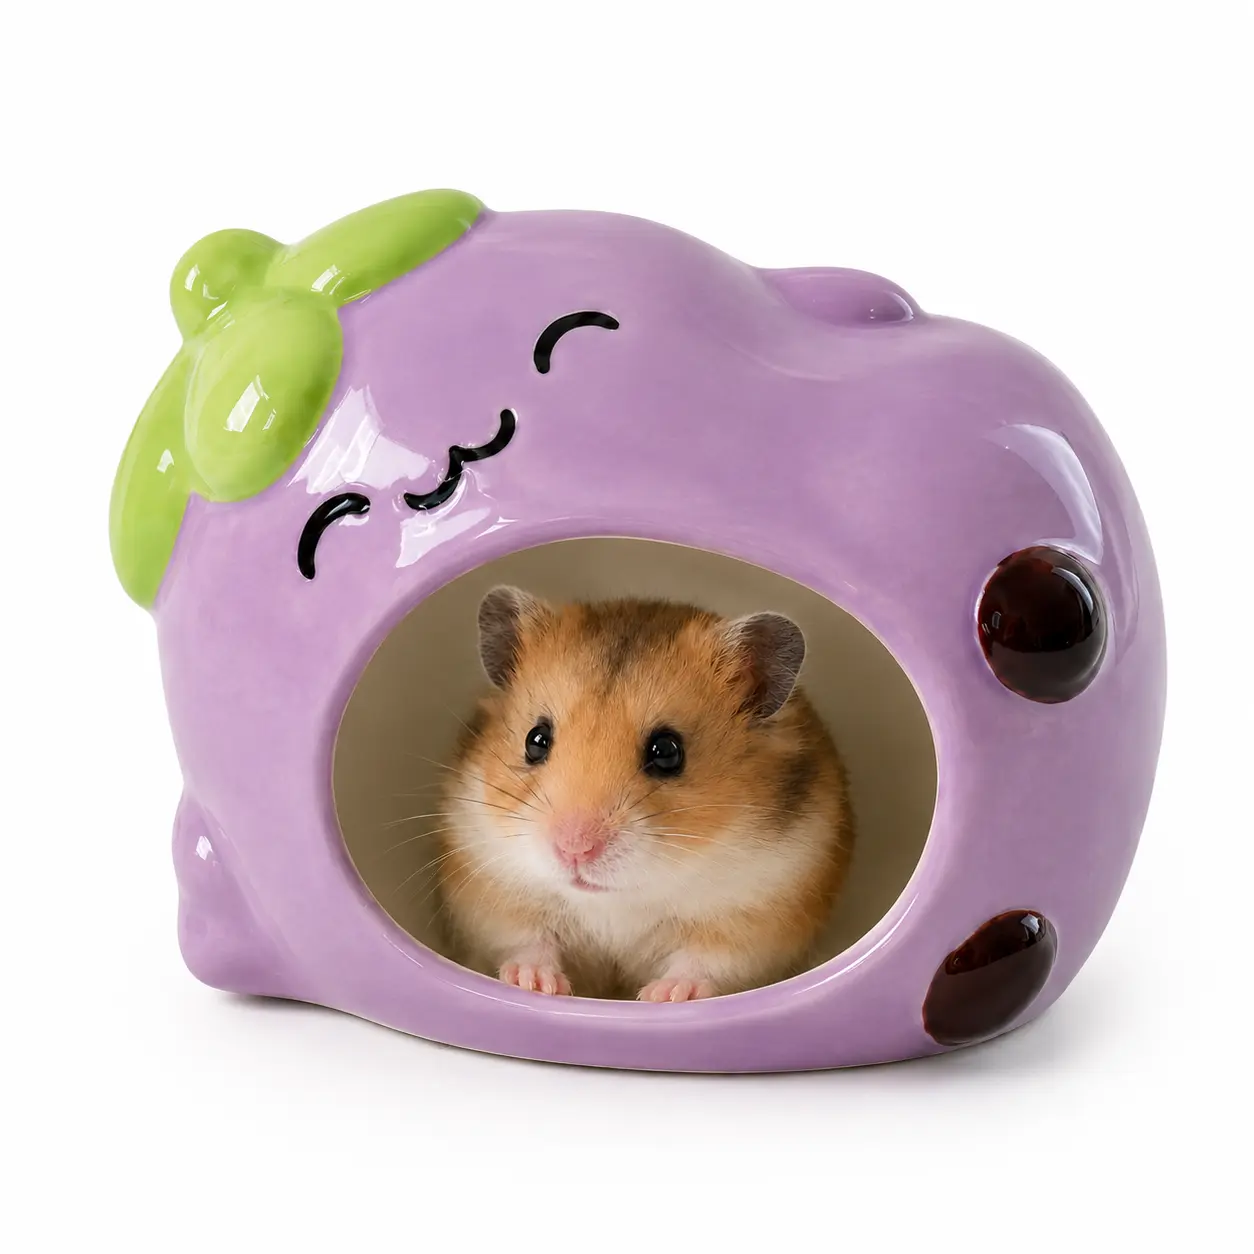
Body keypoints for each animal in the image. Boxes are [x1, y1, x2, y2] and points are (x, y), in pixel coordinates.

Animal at [435, 586, 855, 1001]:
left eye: (667, 752)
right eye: (535, 740)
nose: (574, 849)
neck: (616, 899)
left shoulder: (753, 917)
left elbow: (703, 962)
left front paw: (664, 996)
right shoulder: (494, 894)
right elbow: (527, 942)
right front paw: (534, 983)